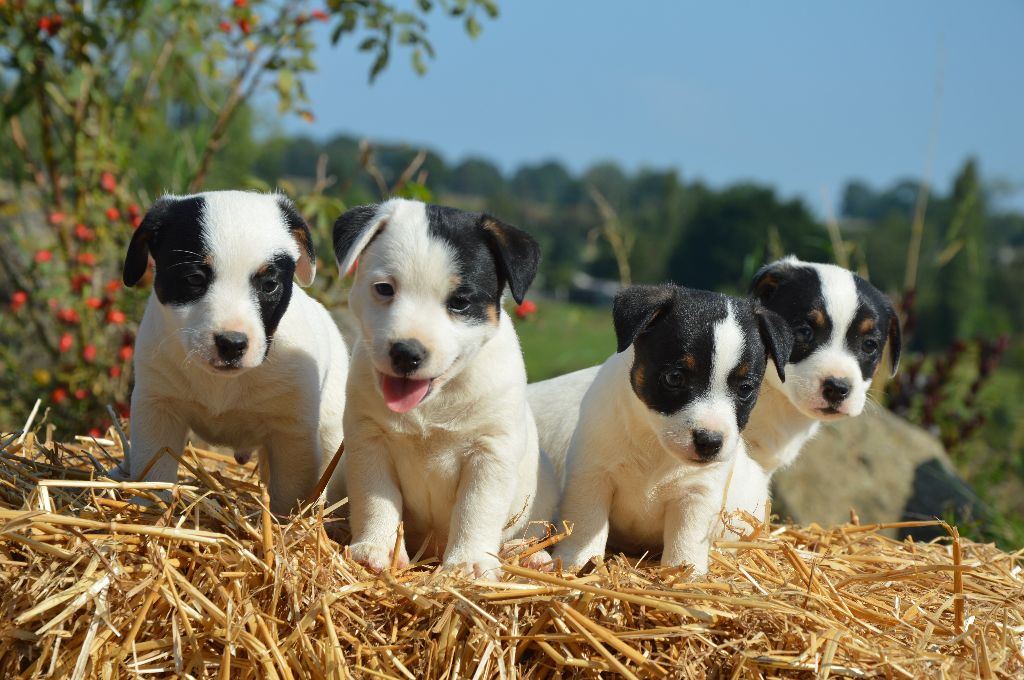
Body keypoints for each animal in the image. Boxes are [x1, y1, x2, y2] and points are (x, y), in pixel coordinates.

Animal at [115, 188, 348, 512]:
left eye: (269, 284)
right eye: (194, 278)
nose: (232, 343)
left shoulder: (292, 432)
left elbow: (289, 489)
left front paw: (284, 520)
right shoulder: (158, 408)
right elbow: (155, 469)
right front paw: (152, 506)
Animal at [329, 199, 561, 577]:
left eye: (461, 302)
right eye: (384, 289)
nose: (406, 353)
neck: (433, 401)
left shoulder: (489, 454)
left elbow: (475, 510)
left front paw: (469, 562)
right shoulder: (369, 442)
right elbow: (376, 499)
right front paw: (377, 550)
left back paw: (530, 555)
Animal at [552, 284, 790, 577]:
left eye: (745, 389)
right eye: (675, 378)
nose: (710, 441)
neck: (654, 444)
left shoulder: (696, 495)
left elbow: (686, 540)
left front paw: (685, 574)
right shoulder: (592, 476)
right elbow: (586, 523)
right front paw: (577, 562)